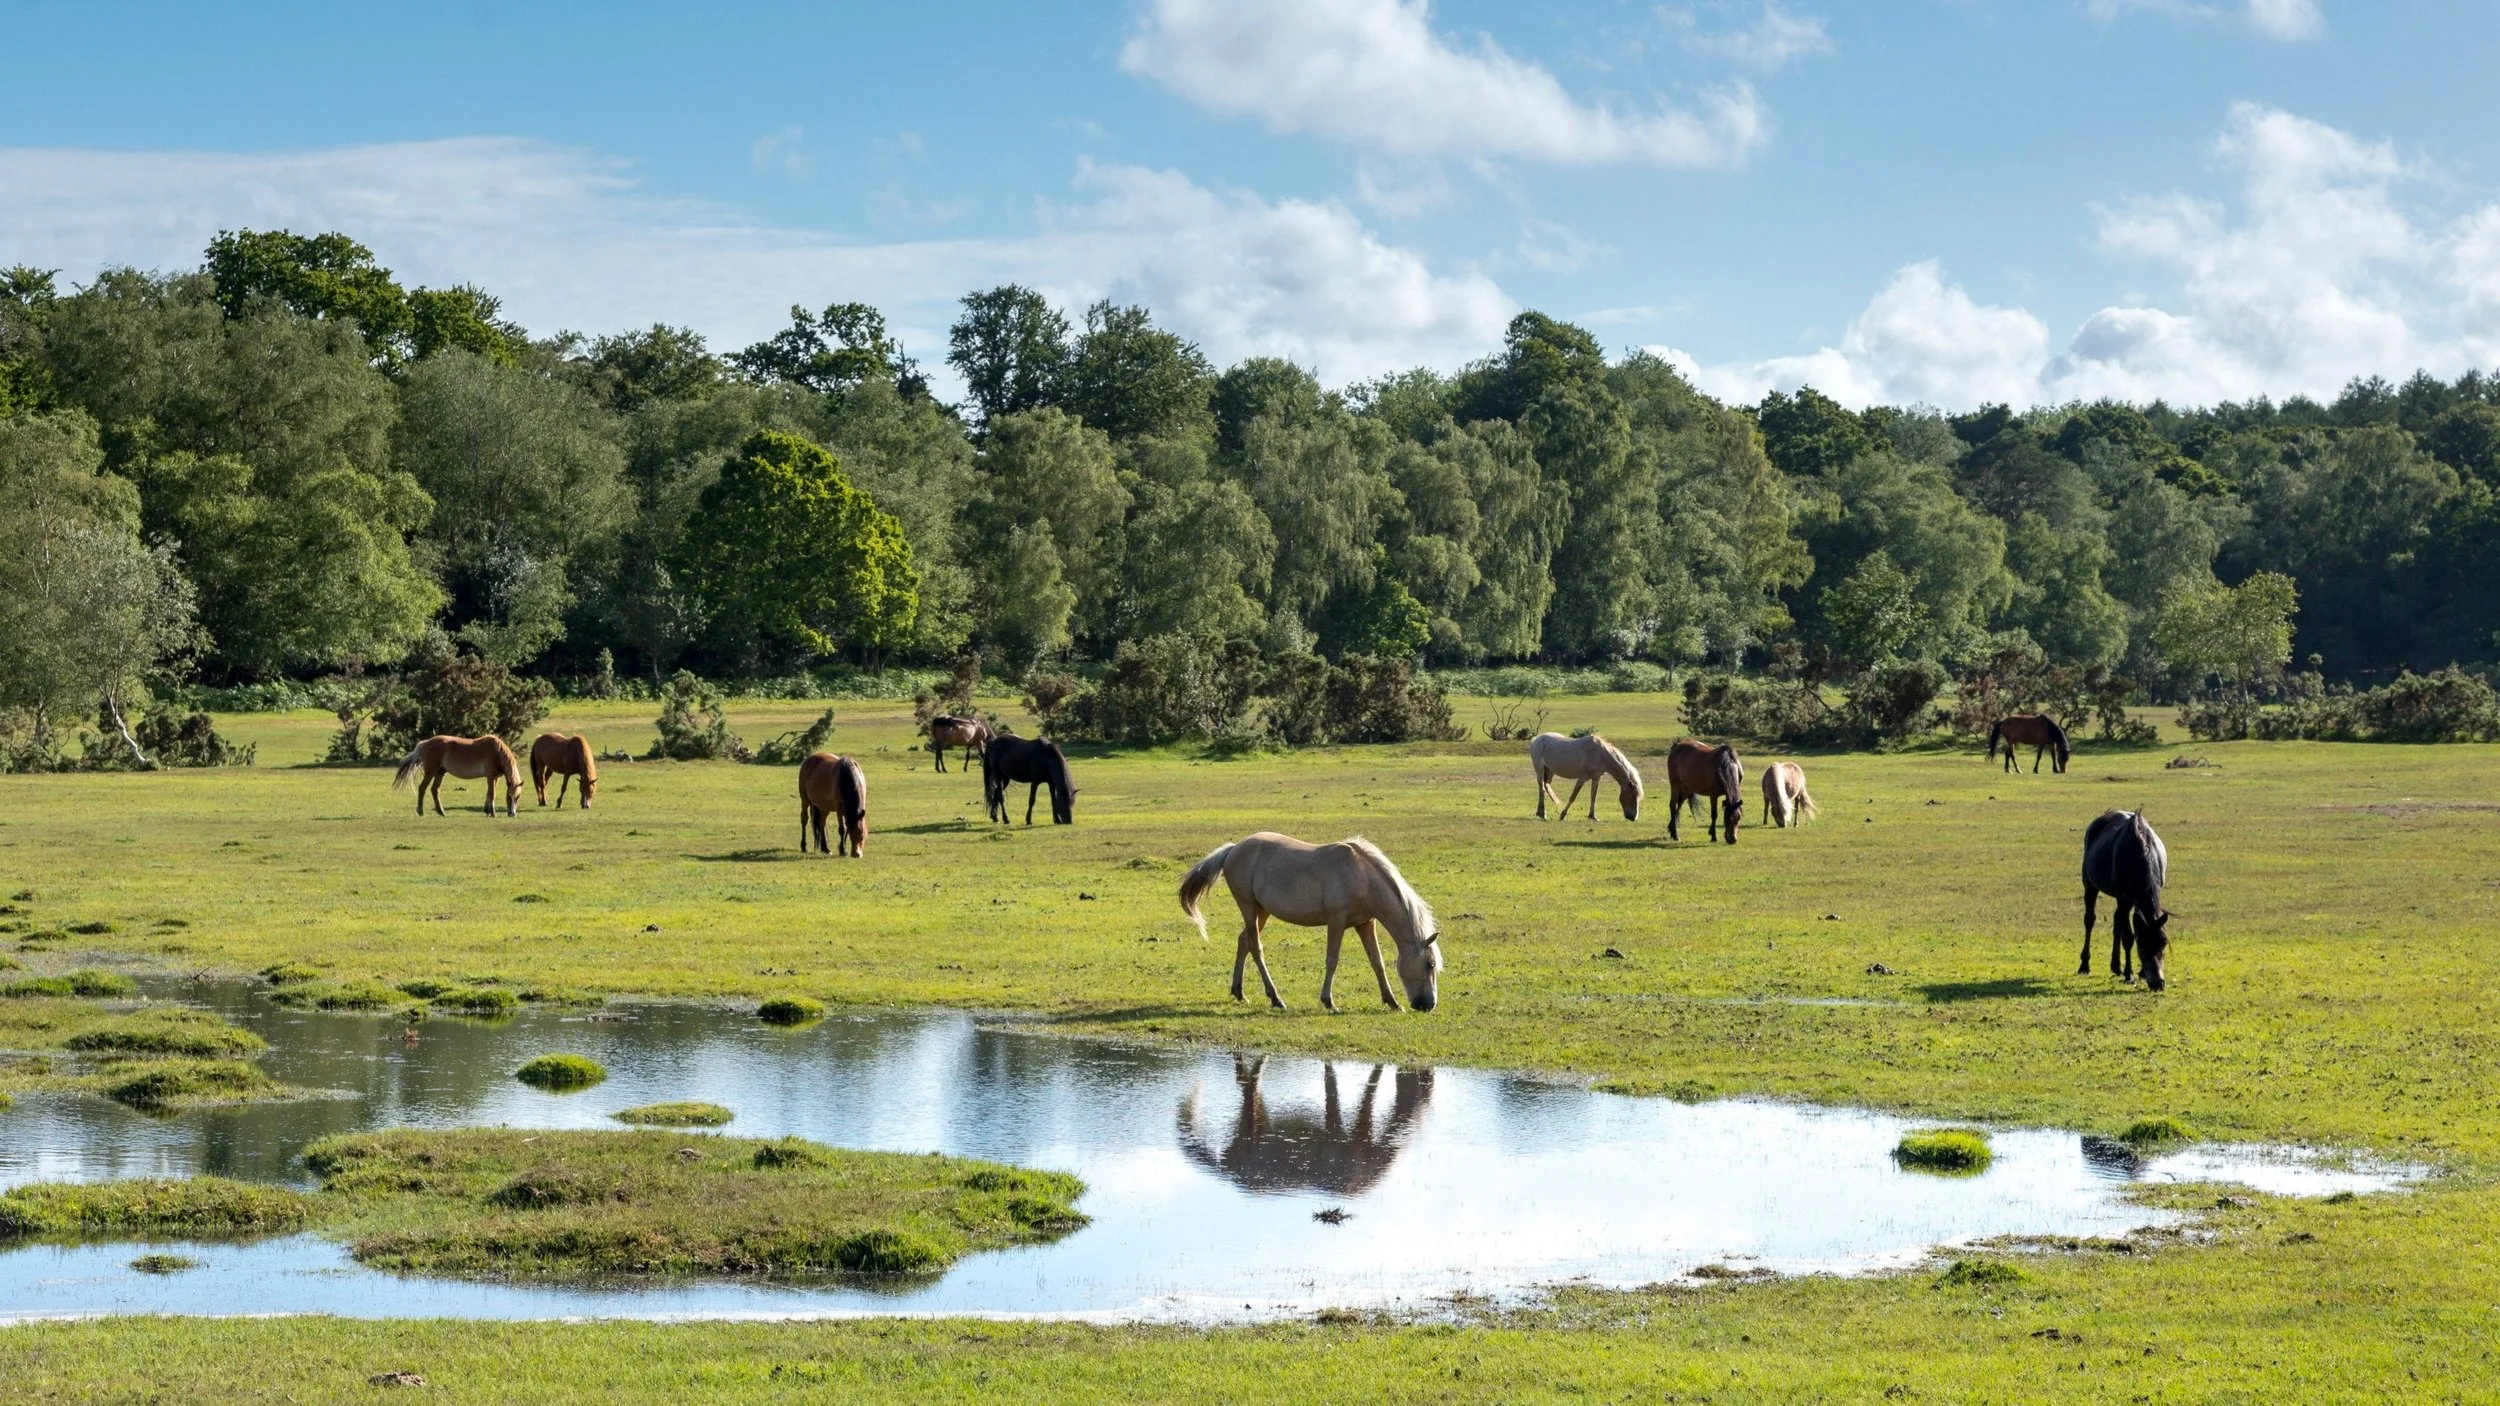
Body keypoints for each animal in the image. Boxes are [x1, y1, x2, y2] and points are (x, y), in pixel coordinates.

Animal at [392, 735, 522, 817]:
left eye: (518, 797)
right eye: (509, 796)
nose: (512, 814)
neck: (497, 752)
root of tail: (424, 743)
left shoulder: (495, 778)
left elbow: (488, 793)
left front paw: (487, 811)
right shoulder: (490, 776)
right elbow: (492, 793)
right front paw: (493, 813)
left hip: (440, 773)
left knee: (435, 790)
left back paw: (441, 812)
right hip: (430, 773)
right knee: (422, 788)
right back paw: (420, 811)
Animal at [1179, 832, 1442, 1013]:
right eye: (1429, 964)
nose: (1428, 1004)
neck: (1363, 877)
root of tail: (1234, 849)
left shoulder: (1365, 923)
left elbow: (1376, 962)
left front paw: (1392, 1001)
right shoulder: (1336, 922)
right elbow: (1332, 960)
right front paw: (1329, 1002)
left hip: (1261, 911)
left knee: (1244, 941)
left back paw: (1239, 992)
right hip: (1248, 907)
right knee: (1255, 946)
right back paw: (1275, 998)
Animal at [2081, 809, 2170, 990]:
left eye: (2163, 944)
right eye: (2141, 945)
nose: (2158, 983)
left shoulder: (2137, 900)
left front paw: (2139, 972)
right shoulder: (2124, 898)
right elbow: (2128, 937)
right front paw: (2129, 975)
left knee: (2117, 922)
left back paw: (2116, 966)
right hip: (2089, 884)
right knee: (2090, 919)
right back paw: (2084, 965)